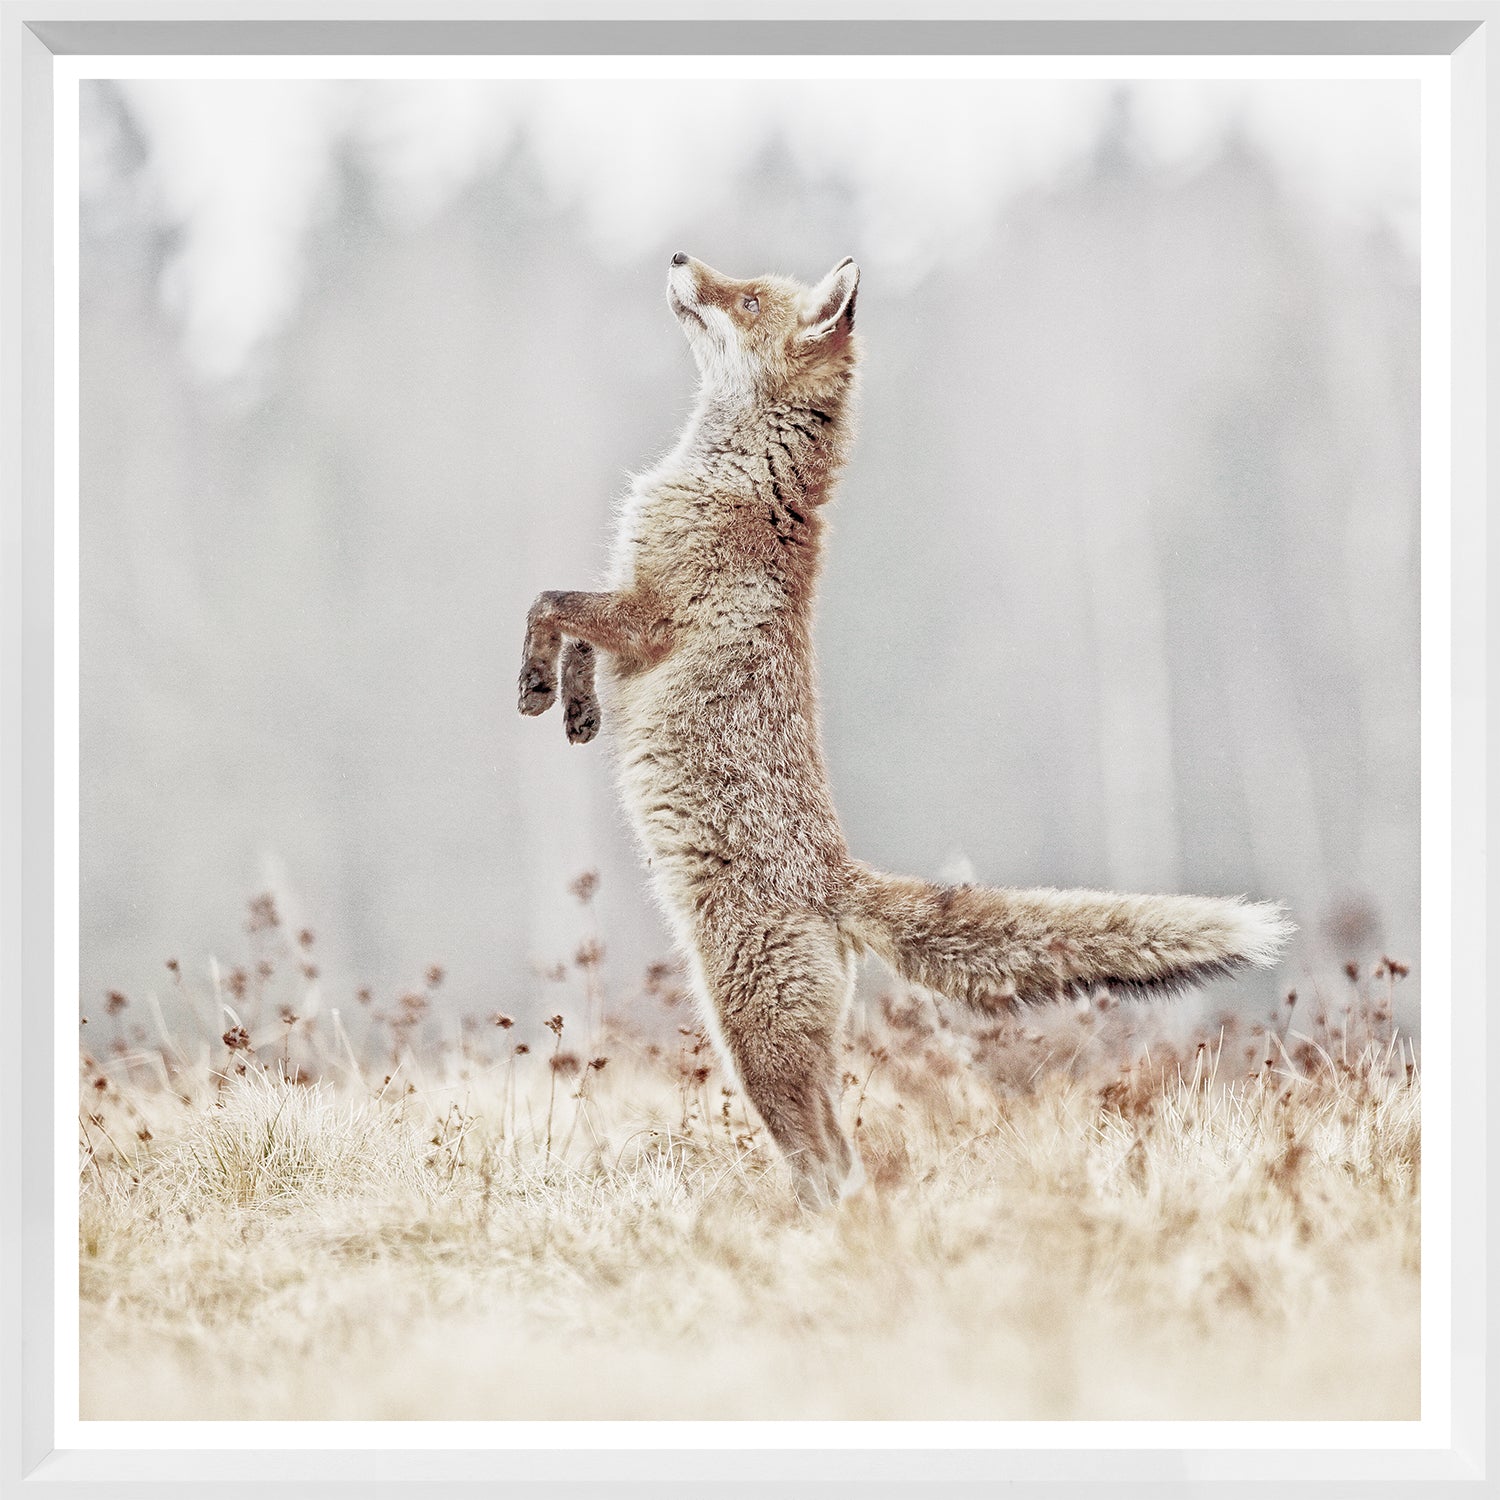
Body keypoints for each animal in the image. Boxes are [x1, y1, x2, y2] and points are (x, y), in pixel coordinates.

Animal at [519, 252, 1293, 1208]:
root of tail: (837, 878)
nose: (678, 258)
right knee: (839, 1157)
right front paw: (575, 706)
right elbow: (576, 635)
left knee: (830, 1161)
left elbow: (550, 603)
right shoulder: (629, 608)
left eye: (745, 297)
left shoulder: (650, 612)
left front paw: (534, 682)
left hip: (752, 1041)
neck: (736, 479)